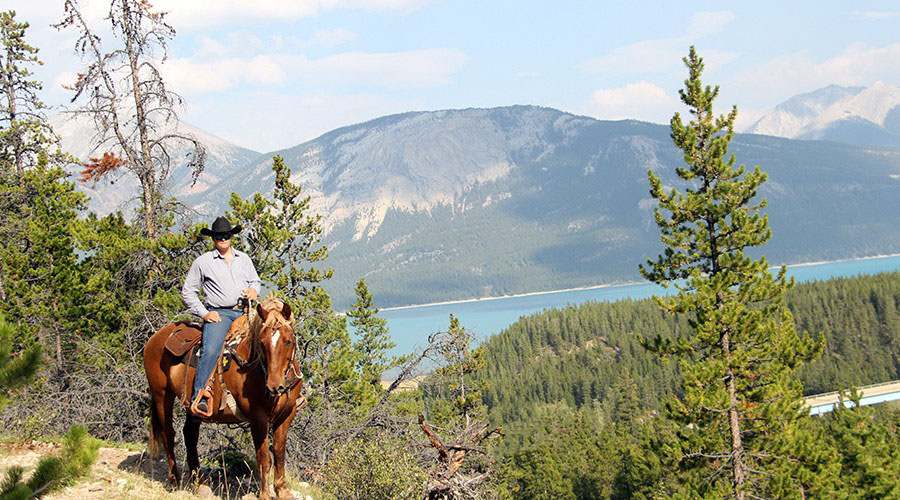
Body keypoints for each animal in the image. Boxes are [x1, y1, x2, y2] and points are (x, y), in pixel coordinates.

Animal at [144, 298, 304, 498]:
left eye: (288, 341)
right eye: (262, 342)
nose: (274, 386)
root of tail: (154, 338)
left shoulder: (287, 415)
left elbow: (279, 453)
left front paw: (282, 490)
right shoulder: (258, 417)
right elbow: (264, 457)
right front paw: (265, 494)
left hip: (192, 407)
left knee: (190, 435)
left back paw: (199, 484)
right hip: (161, 395)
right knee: (168, 434)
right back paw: (175, 480)